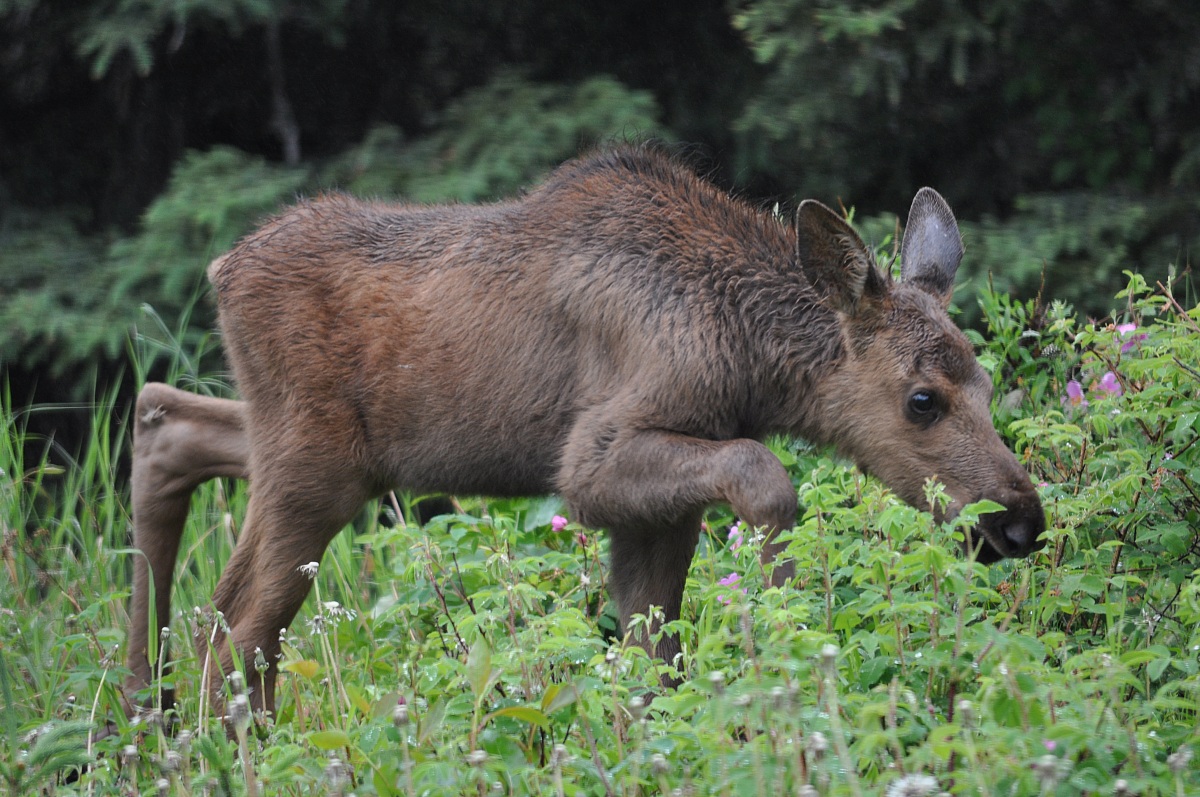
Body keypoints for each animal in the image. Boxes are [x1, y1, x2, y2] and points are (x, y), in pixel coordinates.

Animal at [123, 146, 1045, 720]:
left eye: (988, 384)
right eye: (922, 399)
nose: (1019, 521)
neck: (748, 354)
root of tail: (222, 269)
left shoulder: (658, 506)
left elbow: (649, 657)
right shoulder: (590, 460)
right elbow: (767, 476)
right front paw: (789, 647)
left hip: (314, 445)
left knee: (165, 423)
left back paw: (138, 716)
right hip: (316, 465)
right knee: (235, 634)